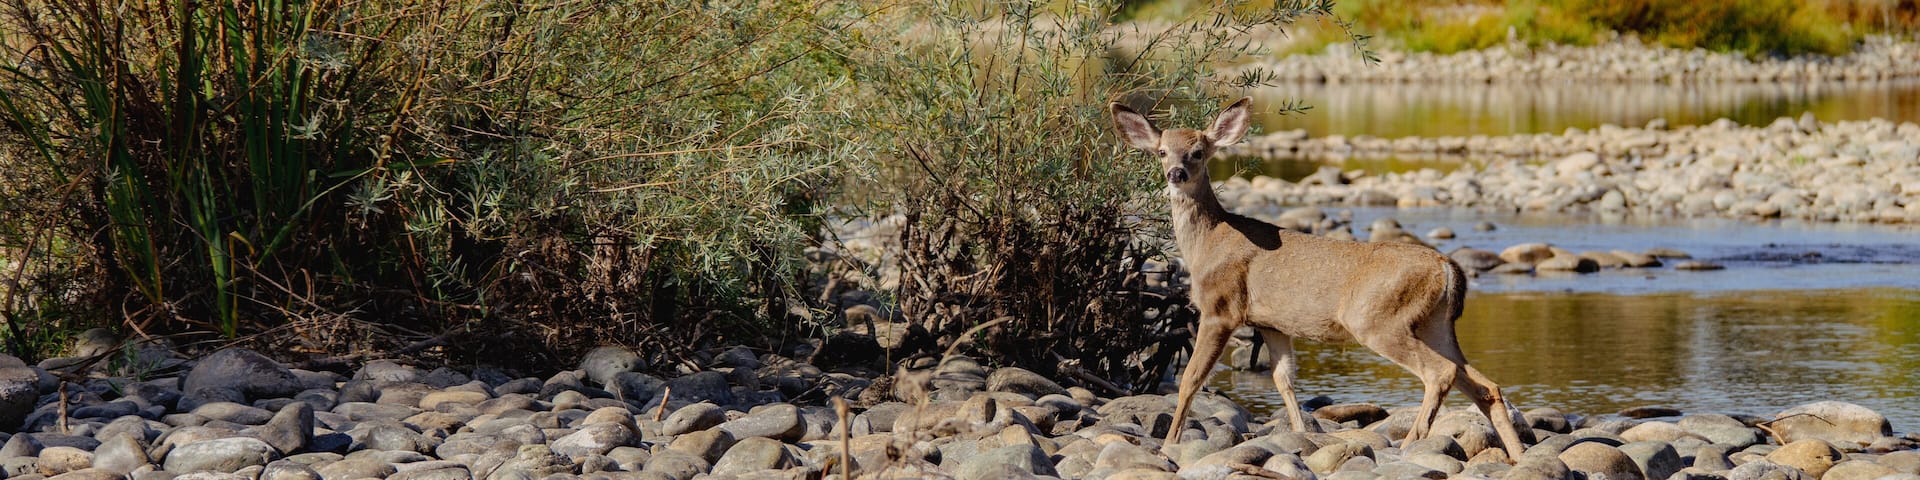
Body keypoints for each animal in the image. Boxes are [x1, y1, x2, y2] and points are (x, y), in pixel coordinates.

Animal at [1109, 97, 1529, 460]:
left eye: (1198, 152)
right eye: (1162, 151)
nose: (1175, 173)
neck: (1207, 244)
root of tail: (1448, 268)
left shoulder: (1221, 308)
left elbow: (1190, 379)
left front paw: (1169, 443)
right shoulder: (1272, 323)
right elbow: (1284, 380)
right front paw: (1302, 436)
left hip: (1377, 318)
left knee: (1441, 372)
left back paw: (1412, 442)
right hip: (1435, 323)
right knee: (1485, 384)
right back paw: (1517, 454)